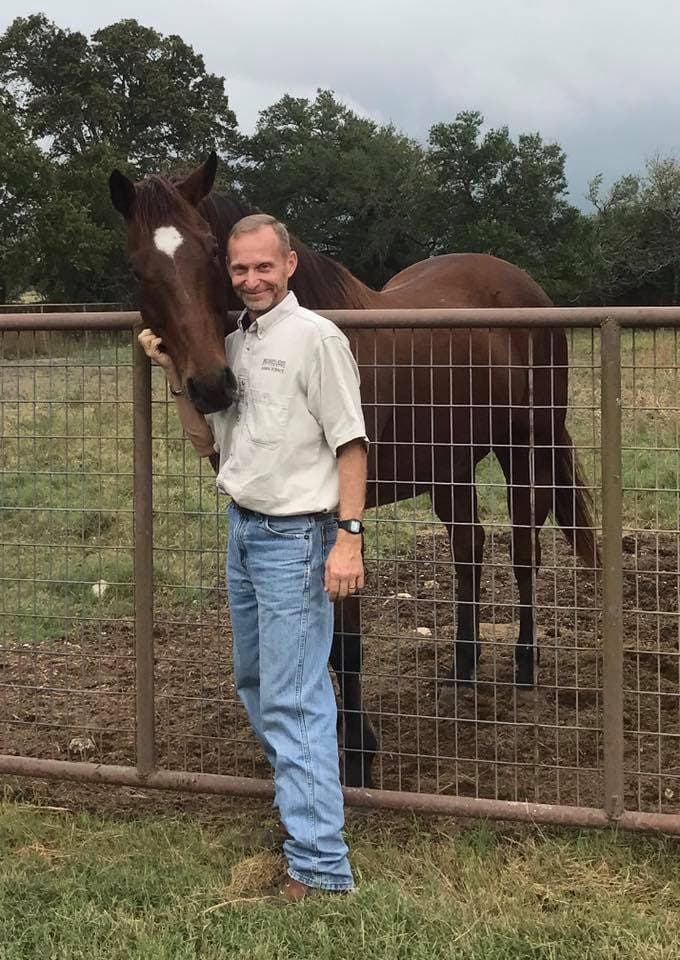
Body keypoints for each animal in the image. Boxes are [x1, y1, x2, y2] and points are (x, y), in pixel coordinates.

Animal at [110, 152, 599, 789]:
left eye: (211, 252)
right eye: (139, 268)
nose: (213, 385)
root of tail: (527, 289)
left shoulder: (339, 515)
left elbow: (344, 642)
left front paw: (360, 755)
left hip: (525, 446)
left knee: (522, 550)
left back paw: (523, 669)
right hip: (450, 464)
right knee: (470, 548)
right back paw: (460, 675)